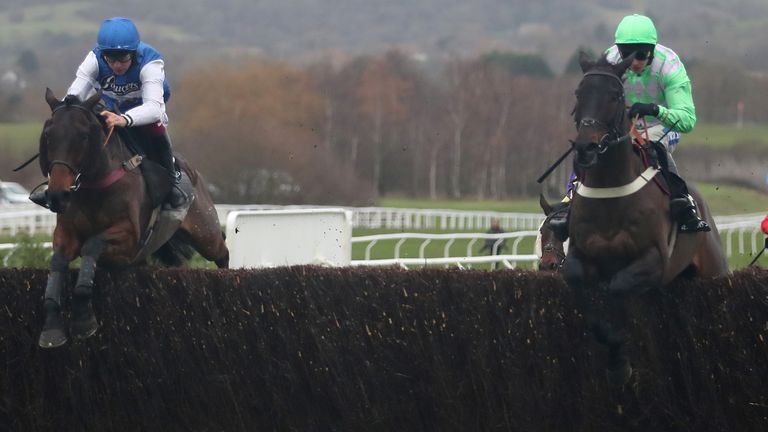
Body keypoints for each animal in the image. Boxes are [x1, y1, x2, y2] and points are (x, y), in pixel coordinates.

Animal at [37, 89, 228, 350]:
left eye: (83, 136)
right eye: (48, 135)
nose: (57, 195)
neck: (95, 187)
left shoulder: (129, 239)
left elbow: (92, 245)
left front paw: (84, 319)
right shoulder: (65, 234)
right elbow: (57, 261)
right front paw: (52, 327)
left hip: (205, 231)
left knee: (222, 251)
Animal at [560, 53, 728, 384]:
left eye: (615, 95)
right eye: (578, 93)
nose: (585, 147)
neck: (610, 192)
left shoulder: (655, 260)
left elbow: (618, 286)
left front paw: (619, 357)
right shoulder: (578, 253)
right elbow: (577, 281)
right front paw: (614, 352)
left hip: (714, 270)